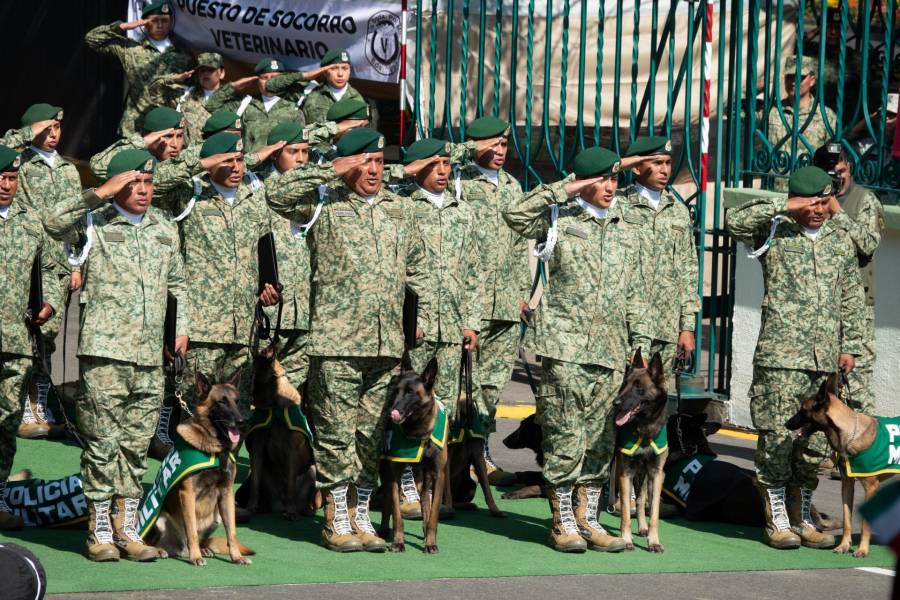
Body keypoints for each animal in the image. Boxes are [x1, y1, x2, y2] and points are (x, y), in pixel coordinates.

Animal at [145, 370, 253, 568]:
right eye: (221, 402)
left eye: (237, 401)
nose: (242, 422)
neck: (214, 450)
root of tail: (178, 548)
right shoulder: (187, 493)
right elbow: (192, 530)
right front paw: (195, 557)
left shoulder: (226, 493)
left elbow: (232, 532)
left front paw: (236, 557)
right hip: (159, 519)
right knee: (151, 540)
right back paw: (160, 550)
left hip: (216, 518)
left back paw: (203, 549)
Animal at [244, 350, 318, 516]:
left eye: (253, 371)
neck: (274, 408)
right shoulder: (257, 448)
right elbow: (254, 483)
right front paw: (251, 506)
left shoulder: (292, 451)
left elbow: (290, 484)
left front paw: (291, 512)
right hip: (266, 469)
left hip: (312, 470)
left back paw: (301, 509)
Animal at [380, 356, 450, 552]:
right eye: (395, 390)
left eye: (410, 392)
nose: (390, 413)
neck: (418, 431)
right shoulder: (395, 473)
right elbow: (397, 513)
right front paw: (398, 541)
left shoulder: (438, 475)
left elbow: (433, 513)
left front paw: (431, 542)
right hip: (387, 471)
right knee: (387, 501)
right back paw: (383, 530)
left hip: (423, 476)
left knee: (425, 499)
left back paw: (426, 533)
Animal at [612, 352, 668, 552]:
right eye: (625, 384)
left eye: (638, 387)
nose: (615, 403)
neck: (644, 428)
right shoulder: (625, 473)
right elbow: (625, 513)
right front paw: (626, 539)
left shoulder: (656, 474)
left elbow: (654, 512)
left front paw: (654, 541)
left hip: (643, 474)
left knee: (641, 498)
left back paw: (643, 527)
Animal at [784, 370, 896, 556]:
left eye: (803, 410)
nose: (786, 424)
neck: (851, 432)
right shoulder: (847, 485)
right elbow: (847, 520)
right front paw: (844, 546)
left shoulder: (871, 488)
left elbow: (865, 524)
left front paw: (862, 550)